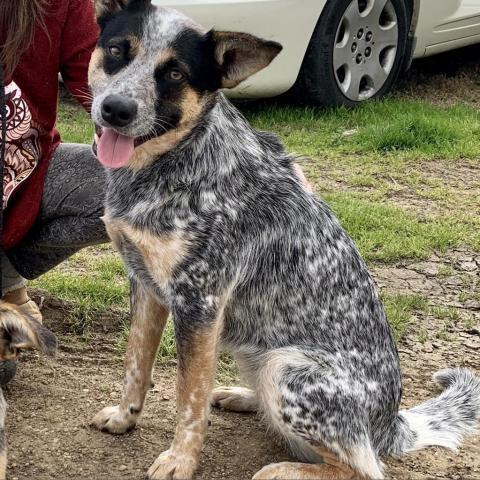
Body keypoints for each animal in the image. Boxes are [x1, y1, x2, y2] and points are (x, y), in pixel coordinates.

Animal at [88, 0, 478, 480]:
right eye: (116, 50)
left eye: (175, 73)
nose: (115, 109)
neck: (170, 163)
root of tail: (392, 426)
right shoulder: (145, 286)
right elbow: (135, 363)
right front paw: (125, 417)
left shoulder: (199, 305)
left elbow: (188, 398)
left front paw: (181, 459)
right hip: (254, 352)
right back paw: (242, 396)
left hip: (284, 366)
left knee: (364, 467)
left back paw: (282, 469)